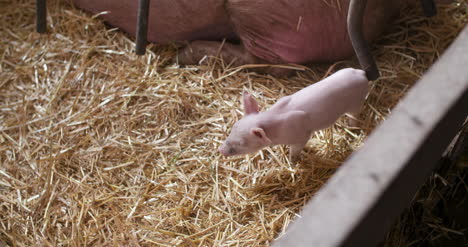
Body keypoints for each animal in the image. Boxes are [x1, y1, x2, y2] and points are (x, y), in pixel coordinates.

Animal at [219, 68, 370, 160]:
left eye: (241, 143)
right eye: (233, 128)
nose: (220, 150)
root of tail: (362, 74)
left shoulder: (302, 135)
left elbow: (296, 149)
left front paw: (292, 160)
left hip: (356, 103)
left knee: (354, 116)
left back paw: (351, 127)